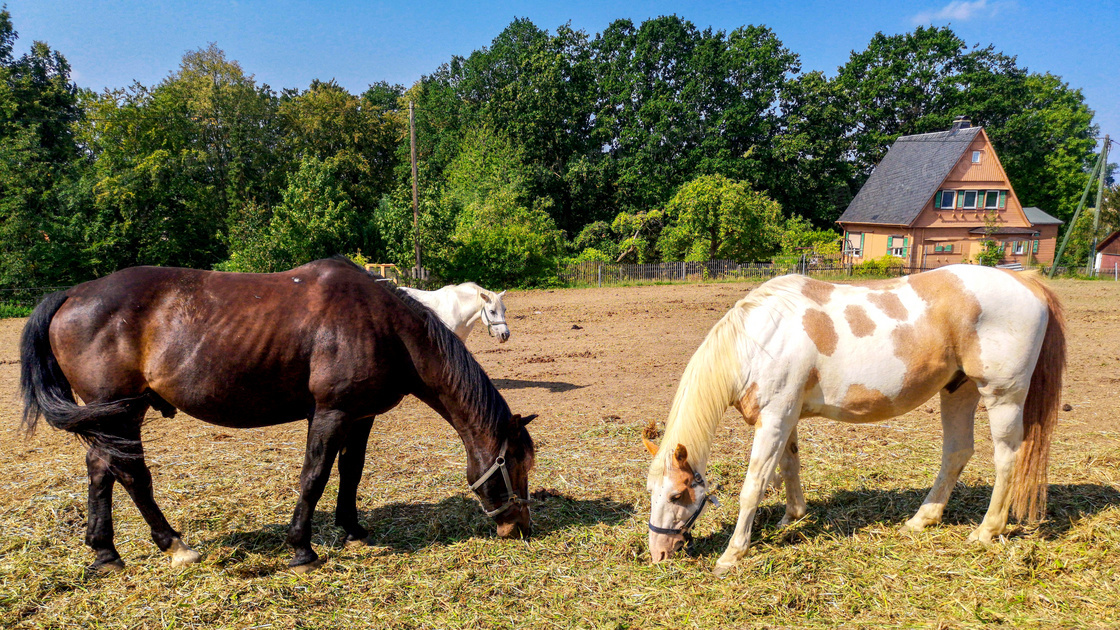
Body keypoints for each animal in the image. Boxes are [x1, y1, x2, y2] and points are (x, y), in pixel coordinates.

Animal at [19, 257, 535, 571]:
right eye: (513, 464)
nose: (520, 529)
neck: (385, 326)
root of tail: (74, 294)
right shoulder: (330, 414)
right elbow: (315, 475)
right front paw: (302, 548)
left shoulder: (360, 416)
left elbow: (351, 472)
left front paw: (352, 529)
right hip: (122, 412)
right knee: (129, 474)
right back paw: (173, 544)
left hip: (108, 417)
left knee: (100, 470)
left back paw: (105, 552)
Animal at [645, 264, 1061, 573]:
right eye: (651, 492)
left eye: (678, 494)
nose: (658, 553)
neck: (760, 340)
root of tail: (1027, 281)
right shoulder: (786, 418)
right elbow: (790, 466)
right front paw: (793, 516)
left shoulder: (774, 419)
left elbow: (754, 486)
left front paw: (732, 553)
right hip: (959, 390)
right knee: (957, 452)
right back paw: (921, 519)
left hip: (1002, 396)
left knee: (1006, 457)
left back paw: (987, 530)